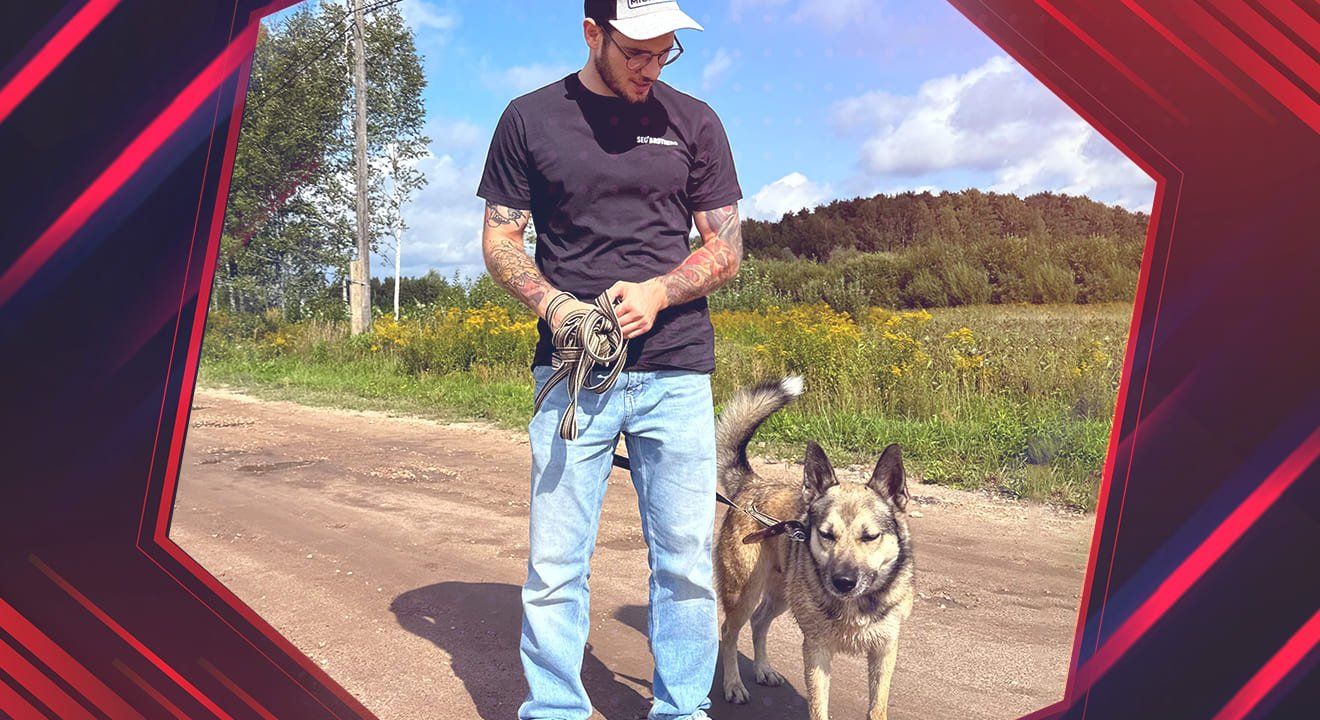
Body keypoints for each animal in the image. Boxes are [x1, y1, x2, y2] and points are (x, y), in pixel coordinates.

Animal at [718, 375, 913, 718]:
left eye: (870, 536)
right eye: (826, 534)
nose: (843, 582)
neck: (855, 604)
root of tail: (751, 484)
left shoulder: (884, 650)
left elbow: (877, 707)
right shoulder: (817, 650)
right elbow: (819, 707)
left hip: (781, 595)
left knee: (759, 621)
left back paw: (763, 669)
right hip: (744, 593)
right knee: (729, 632)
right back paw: (733, 685)